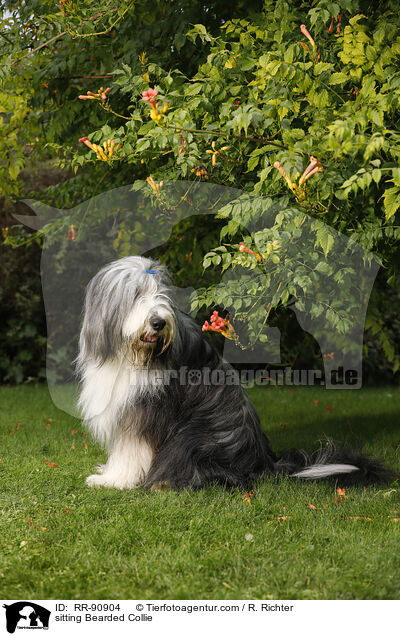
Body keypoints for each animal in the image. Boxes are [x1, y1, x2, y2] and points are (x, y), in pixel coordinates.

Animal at [76, 256, 396, 490]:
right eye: (135, 295)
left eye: (162, 296)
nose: (158, 323)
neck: (132, 354)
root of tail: (263, 462)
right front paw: (108, 472)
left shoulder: (144, 413)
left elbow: (130, 450)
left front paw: (113, 480)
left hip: (193, 438)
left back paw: (163, 482)